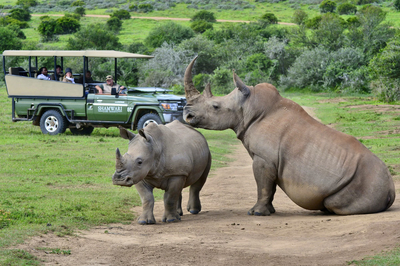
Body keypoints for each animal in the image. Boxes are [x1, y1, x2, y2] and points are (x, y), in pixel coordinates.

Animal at [183, 56, 396, 216]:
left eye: (215, 106)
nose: (188, 115)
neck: (248, 107)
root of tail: (391, 189)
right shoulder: (268, 159)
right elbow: (269, 187)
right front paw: (269, 211)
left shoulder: (264, 158)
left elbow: (263, 185)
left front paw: (256, 213)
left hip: (366, 182)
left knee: (334, 202)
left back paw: (325, 209)